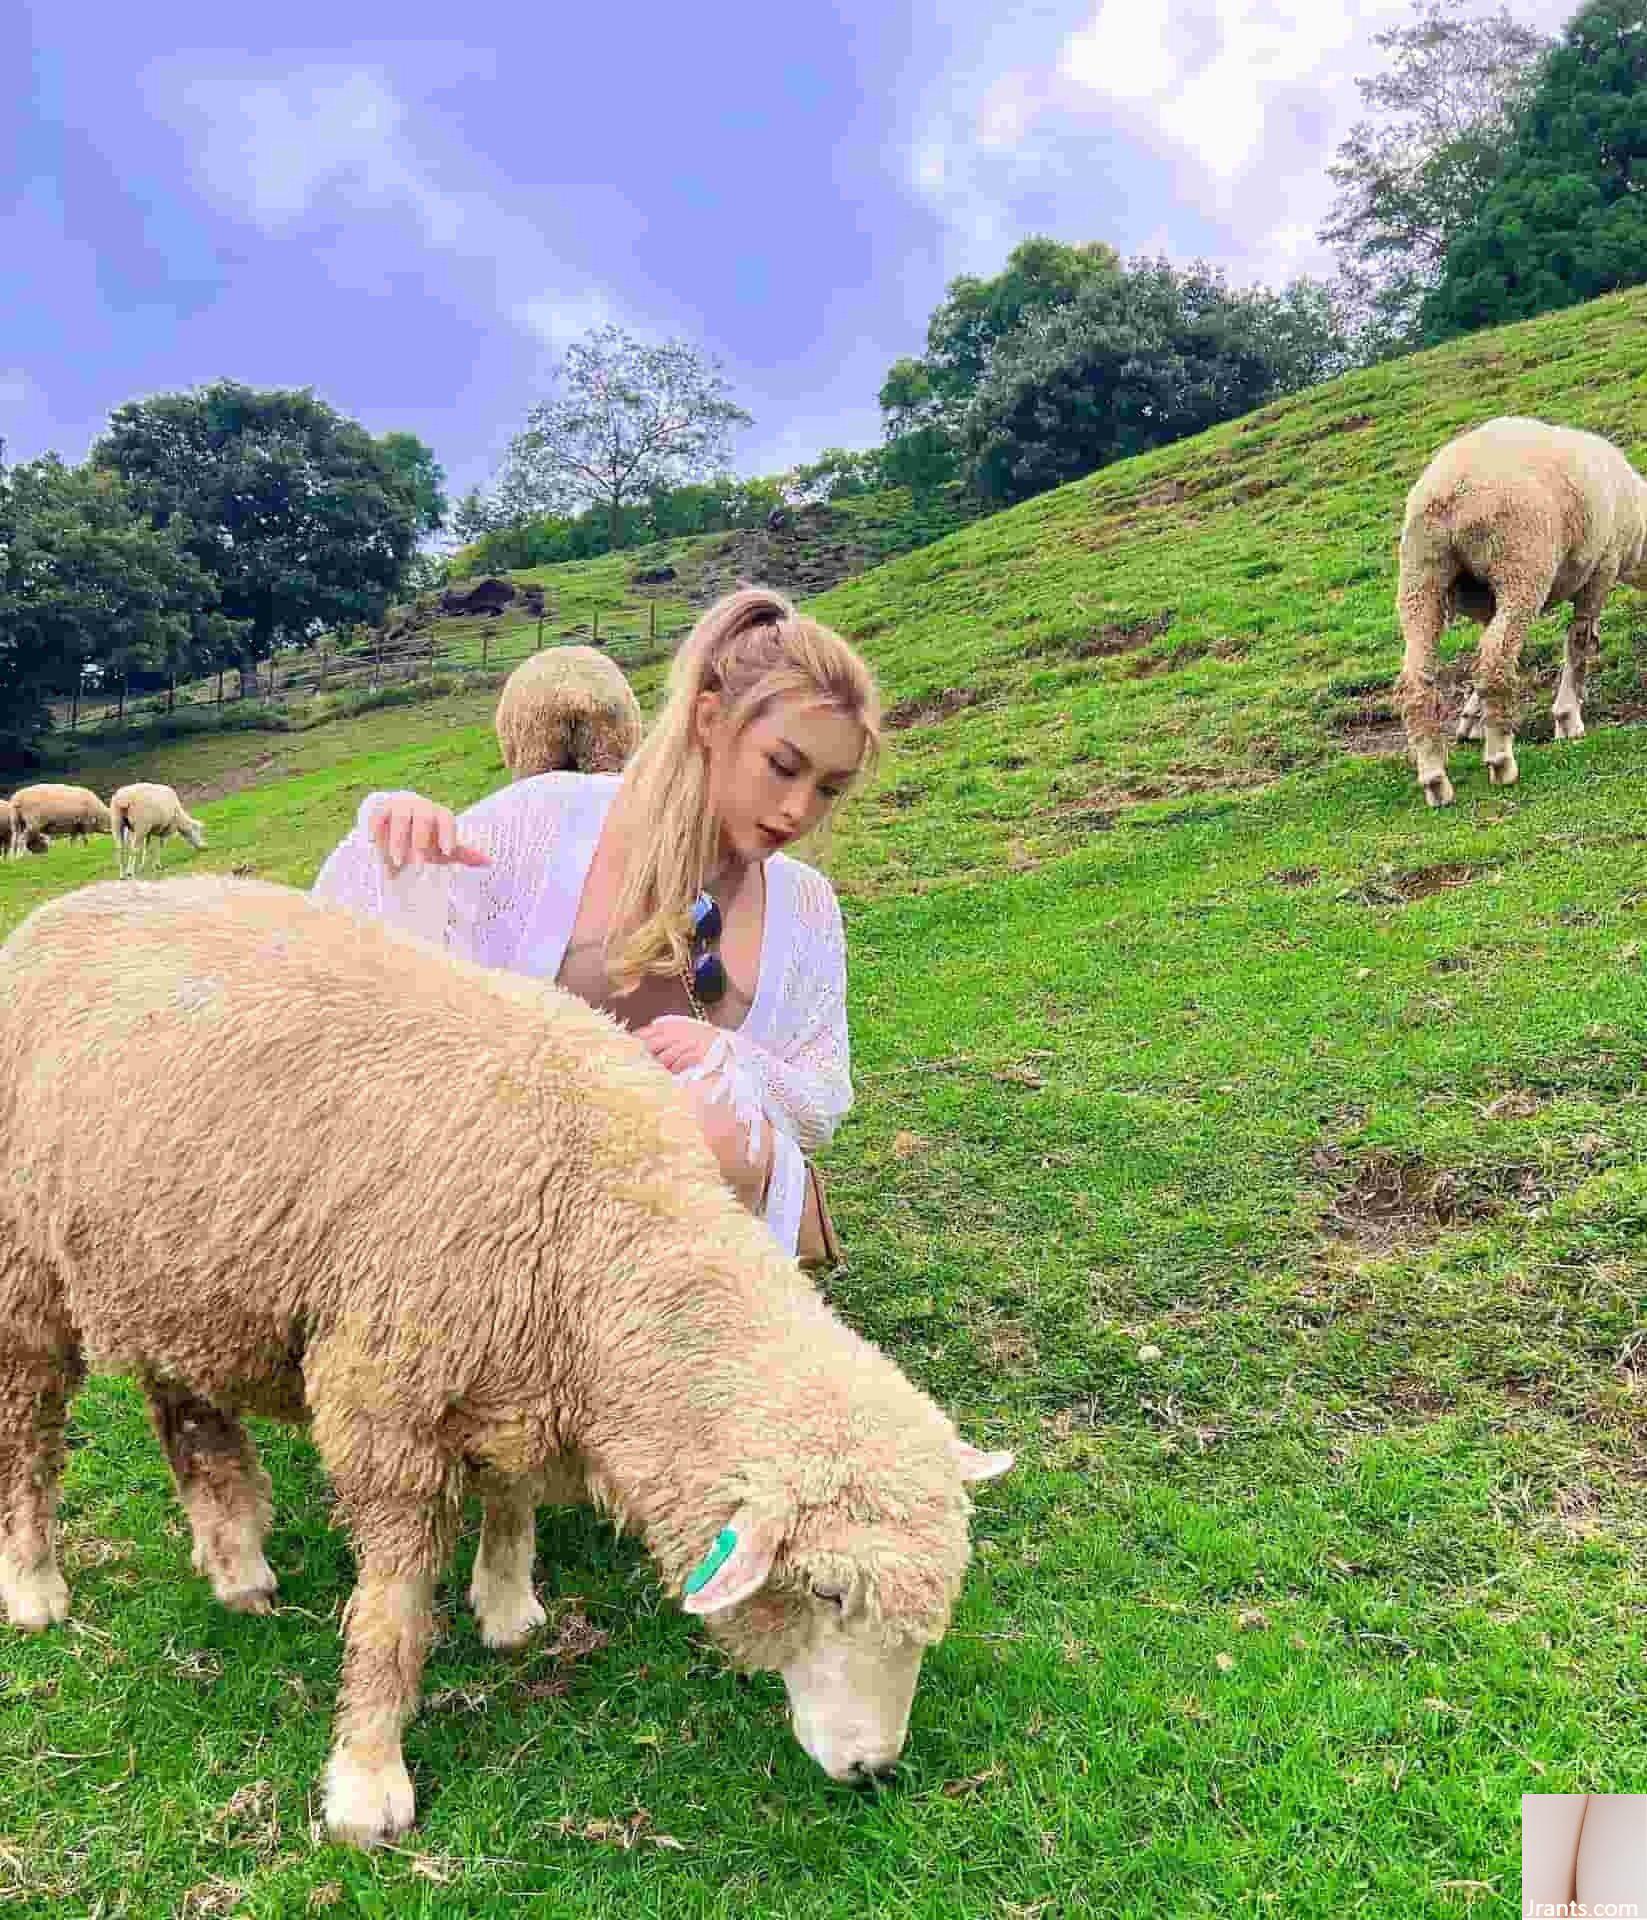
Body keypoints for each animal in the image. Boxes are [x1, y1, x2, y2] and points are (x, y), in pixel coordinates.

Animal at [0, 879, 1005, 1850]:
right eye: (826, 1591)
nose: (873, 1769)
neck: (599, 1222)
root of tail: (55, 914)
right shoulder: (388, 1401)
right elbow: (393, 1608)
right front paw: (368, 1780)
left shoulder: (515, 1364)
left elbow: (512, 1495)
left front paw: (507, 1605)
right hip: (25, 1274)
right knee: (28, 1435)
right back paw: (36, 1585)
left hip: (168, 1263)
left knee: (189, 1412)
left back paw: (234, 1561)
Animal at [1389, 416, 1643, 806]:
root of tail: (1449, 493)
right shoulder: (1602, 568)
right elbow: (1580, 643)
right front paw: (1568, 719)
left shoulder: (1487, 604)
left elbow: (1479, 660)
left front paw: (1471, 718)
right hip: (1521, 564)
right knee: (1497, 660)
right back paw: (1500, 760)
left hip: (1420, 576)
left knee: (1422, 674)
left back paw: (1435, 778)